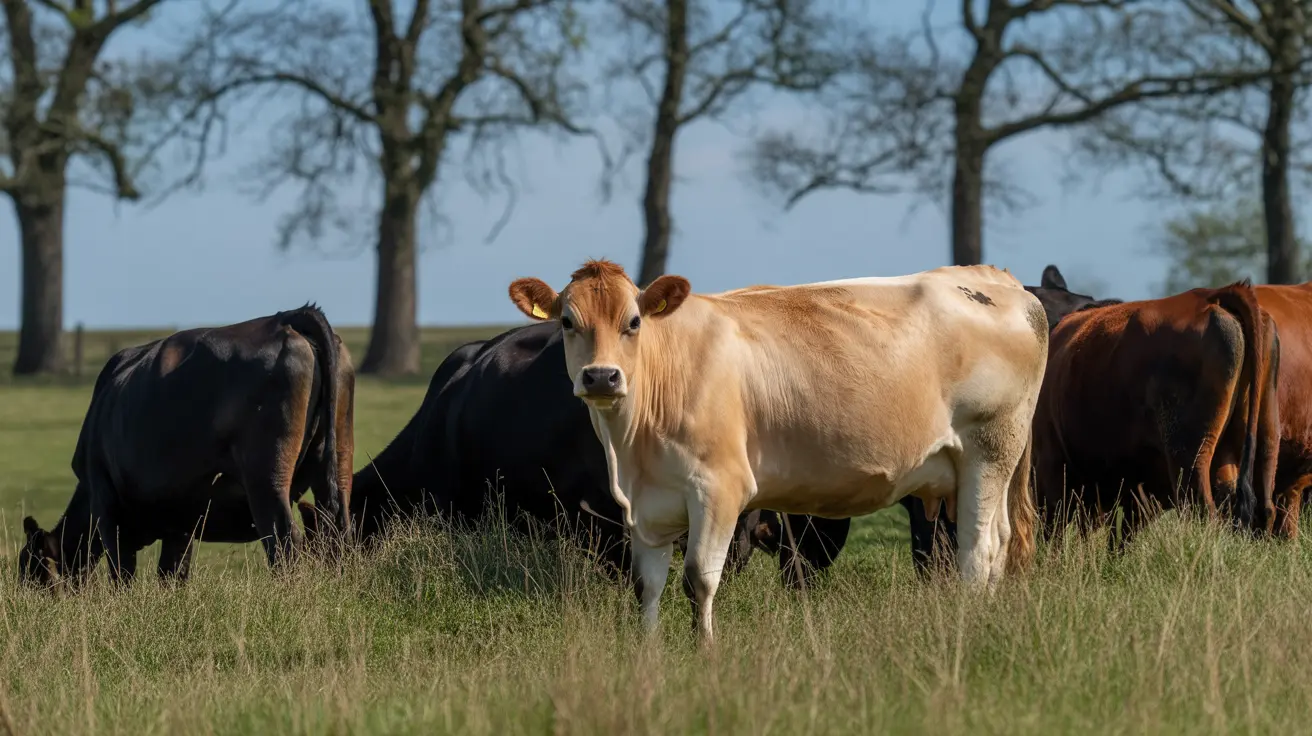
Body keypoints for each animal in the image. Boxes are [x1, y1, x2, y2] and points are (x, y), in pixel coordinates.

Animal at [17, 305, 354, 589]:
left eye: (33, 573)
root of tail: (284, 318)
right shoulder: (182, 520)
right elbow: (172, 574)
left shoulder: (105, 500)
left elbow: (122, 574)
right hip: (338, 459)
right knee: (337, 525)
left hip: (265, 476)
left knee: (285, 537)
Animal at [507, 259, 1049, 643]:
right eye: (567, 322)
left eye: (634, 321)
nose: (601, 376)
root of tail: (996, 280)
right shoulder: (646, 505)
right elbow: (648, 586)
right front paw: (649, 655)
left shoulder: (719, 489)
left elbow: (699, 578)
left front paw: (705, 652)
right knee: (1000, 541)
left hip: (988, 451)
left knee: (976, 551)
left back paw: (968, 626)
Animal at [1032, 277, 1279, 547]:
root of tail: (1210, 295)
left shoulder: (1051, 466)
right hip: (1262, 442)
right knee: (1262, 508)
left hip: (1189, 453)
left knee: (1204, 510)